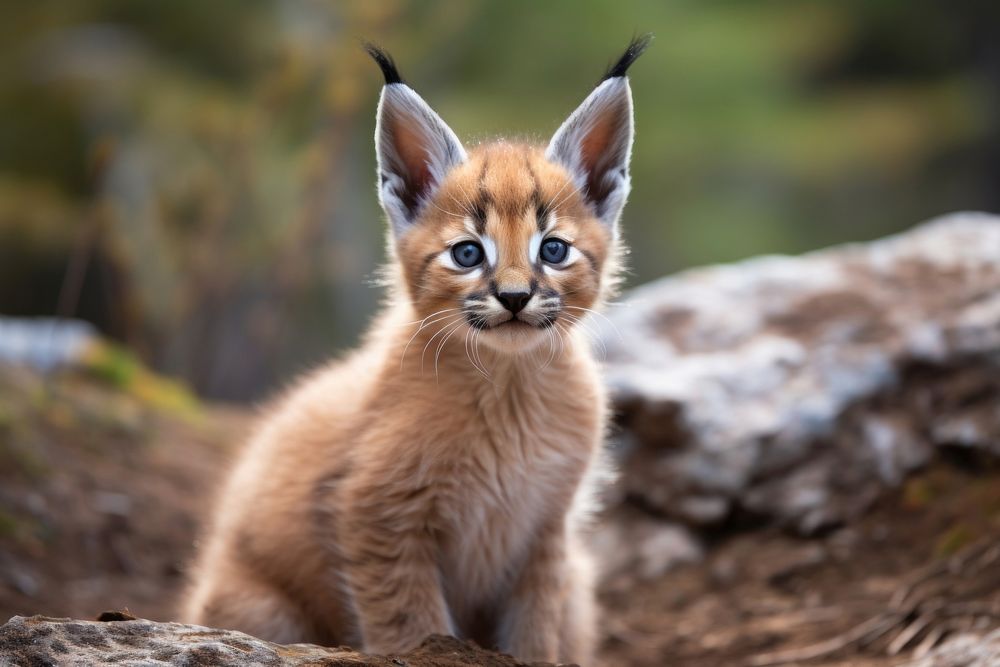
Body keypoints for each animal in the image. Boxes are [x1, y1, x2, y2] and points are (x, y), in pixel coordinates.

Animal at [182, 37, 648, 667]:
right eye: (467, 254)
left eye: (553, 249)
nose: (515, 297)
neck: (508, 382)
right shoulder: (376, 516)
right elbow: (411, 623)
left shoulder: (546, 532)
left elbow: (534, 628)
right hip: (257, 604)